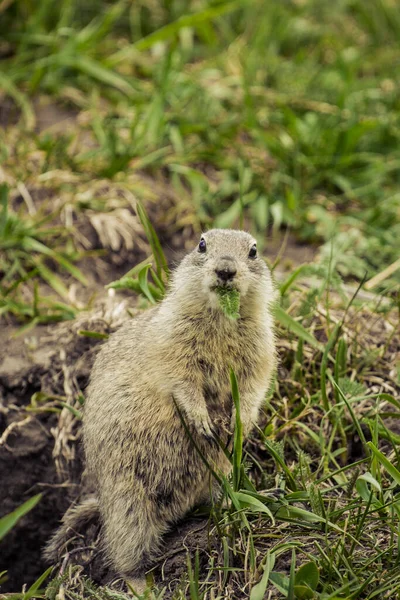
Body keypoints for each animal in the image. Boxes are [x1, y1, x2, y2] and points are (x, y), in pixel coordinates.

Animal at [43, 229, 276, 584]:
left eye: (253, 251)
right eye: (202, 244)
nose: (225, 269)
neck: (220, 317)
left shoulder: (261, 348)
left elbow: (254, 385)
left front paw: (240, 422)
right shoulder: (172, 343)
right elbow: (182, 380)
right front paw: (203, 422)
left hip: (215, 474)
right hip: (128, 500)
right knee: (124, 554)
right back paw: (140, 581)